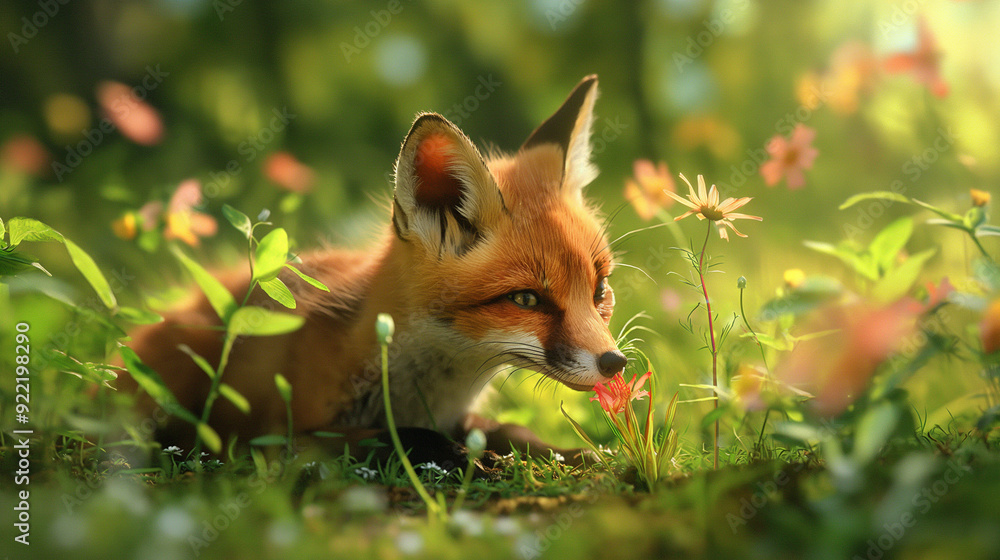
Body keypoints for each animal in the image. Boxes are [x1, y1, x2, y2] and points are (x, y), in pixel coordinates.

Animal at [115, 75, 627, 465]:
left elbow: (507, 430)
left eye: (600, 290)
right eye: (526, 299)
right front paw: (471, 459)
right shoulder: (277, 437)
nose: (614, 362)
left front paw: (575, 454)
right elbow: (408, 438)